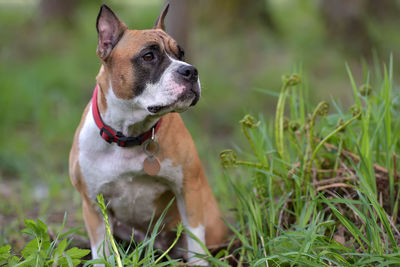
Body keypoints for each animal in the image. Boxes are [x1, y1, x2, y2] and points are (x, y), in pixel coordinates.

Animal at [69, 2, 228, 266]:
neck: (129, 134)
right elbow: (101, 251)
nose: (190, 71)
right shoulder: (92, 205)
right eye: (148, 56)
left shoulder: (188, 190)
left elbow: (196, 241)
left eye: (181, 54)